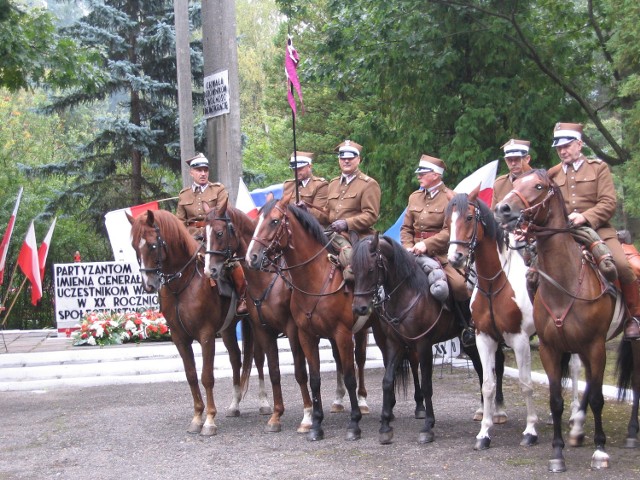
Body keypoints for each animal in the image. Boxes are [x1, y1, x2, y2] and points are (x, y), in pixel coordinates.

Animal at [126, 209, 254, 436]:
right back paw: (234, 405)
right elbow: (191, 375)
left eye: (152, 245)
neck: (182, 284)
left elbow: (206, 376)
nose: (148, 285)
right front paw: (197, 417)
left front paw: (209, 421)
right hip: (228, 329)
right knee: (236, 359)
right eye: (134, 246)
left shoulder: (206, 335)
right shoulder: (180, 338)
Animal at [246, 197, 376, 440]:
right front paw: (315, 424)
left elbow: (350, 376)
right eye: (256, 221)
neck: (316, 279)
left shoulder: (343, 334)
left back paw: (364, 403)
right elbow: (314, 378)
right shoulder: (306, 335)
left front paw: (353, 424)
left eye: (274, 221)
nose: (252, 257)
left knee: (362, 361)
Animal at [350, 231, 484, 444]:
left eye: (371, 269)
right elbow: (387, 381)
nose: (359, 308)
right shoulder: (395, 344)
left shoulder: (424, 345)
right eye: (353, 270)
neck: (407, 293)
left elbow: (427, 384)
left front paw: (428, 426)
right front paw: (385, 426)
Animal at [496, 170, 624, 472]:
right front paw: (557, 452)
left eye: (538, 186)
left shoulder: (596, 346)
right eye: (516, 182)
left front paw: (600, 451)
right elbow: (556, 401)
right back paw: (577, 430)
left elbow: (599, 398)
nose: (503, 209)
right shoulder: (550, 348)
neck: (565, 283)